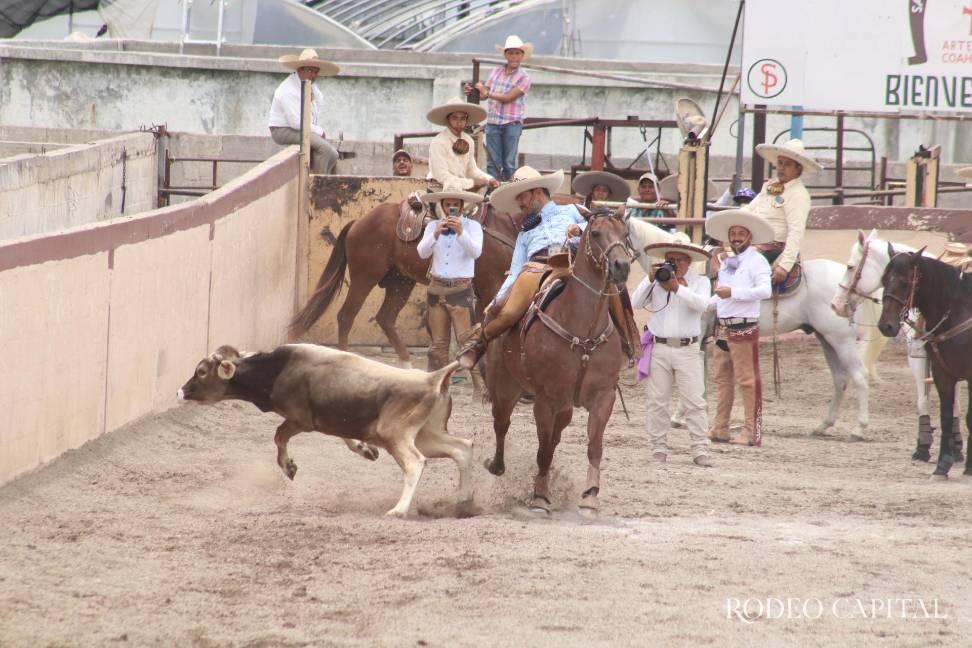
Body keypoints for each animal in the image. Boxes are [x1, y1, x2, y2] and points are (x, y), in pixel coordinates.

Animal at [181, 344, 474, 516]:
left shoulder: (300, 420)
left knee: (415, 463)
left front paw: (288, 467)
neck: (278, 369)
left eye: (202, 371)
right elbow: (347, 437)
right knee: (462, 449)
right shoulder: (333, 419)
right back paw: (464, 501)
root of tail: (432, 378)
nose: (181, 391)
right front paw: (364, 448)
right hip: (427, 435)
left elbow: (279, 436)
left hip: (397, 436)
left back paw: (399, 510)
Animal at [288, 202, 516, 364]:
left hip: (400, 282)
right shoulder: (490, 288)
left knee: (385, 317)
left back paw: (406, 362)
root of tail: (359, 221)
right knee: (346, 316)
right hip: (365, 277)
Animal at [484, 213, 632, 516]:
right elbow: (542, 449)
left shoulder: (604, 396)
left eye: (625, 234)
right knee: (502, 425)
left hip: (565, 408)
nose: (622, 266)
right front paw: (540, 497)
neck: (583, 331)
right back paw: (497, 466)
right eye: (596, 233)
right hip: (505, 389)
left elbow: (594, 446)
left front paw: (590, 495)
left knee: (554, 439)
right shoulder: (545, 399)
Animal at [632, 219, 872, 440]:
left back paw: (859, 428)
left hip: (841, 339)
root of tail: (846, 288)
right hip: (825, 338)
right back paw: (823, 426)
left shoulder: (697, 335)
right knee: (840, 379)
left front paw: (679, 416)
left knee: (859, 375)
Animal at [828, 229, 964, 460]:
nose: (836, 305)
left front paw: (923, 447)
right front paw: (955, 448)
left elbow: (924, 401)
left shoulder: (919, 357)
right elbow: (953, 404)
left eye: (850, 266)